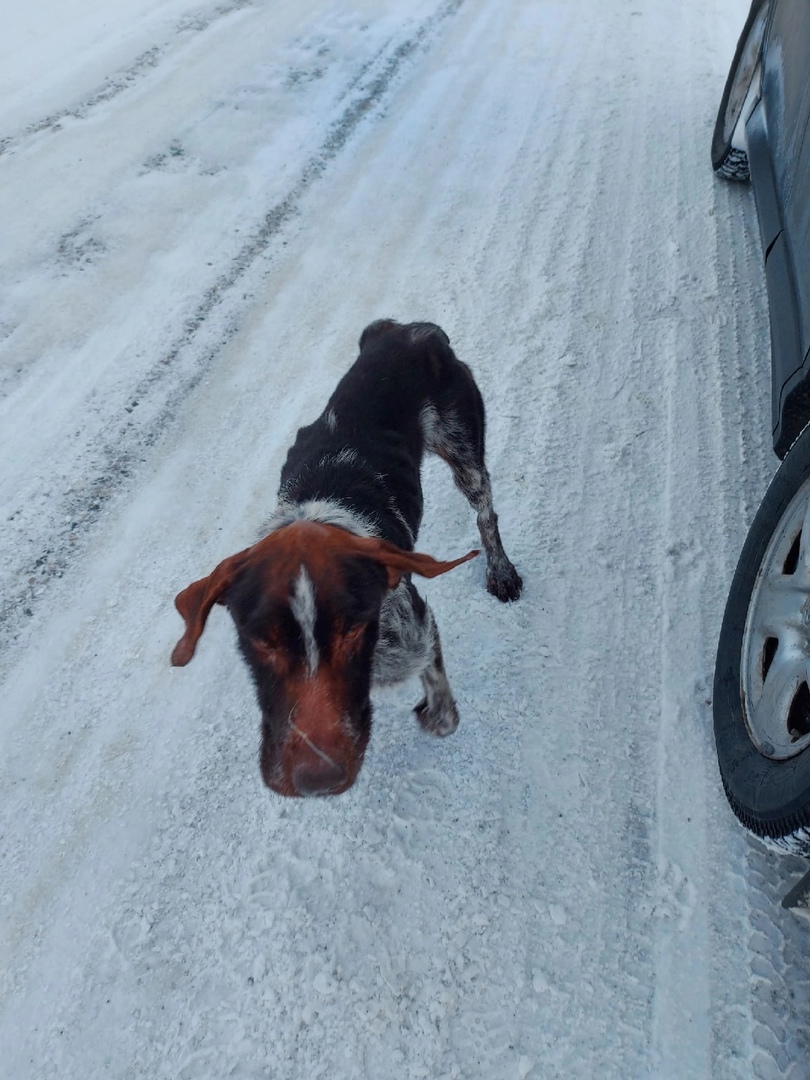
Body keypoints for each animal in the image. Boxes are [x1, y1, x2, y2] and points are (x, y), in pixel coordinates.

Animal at [173, 319, 522, 794]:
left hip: (464, 450)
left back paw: (501, 571)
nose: (315, 778)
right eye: (261, 639)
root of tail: (411, 329)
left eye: (352, 628)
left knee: (486, 512)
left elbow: (443, 712)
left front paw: (431, 713)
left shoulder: (417, 630)